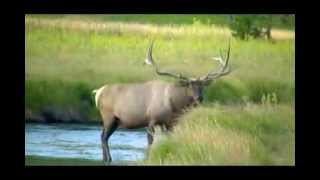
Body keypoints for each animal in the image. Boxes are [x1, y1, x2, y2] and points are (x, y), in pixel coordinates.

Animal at [91, 40, 231, 164]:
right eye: (189, 85)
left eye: (202, 86)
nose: (199, 98)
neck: (173, 105)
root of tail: (98, 92)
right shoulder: (151, 119)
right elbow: (150, 140)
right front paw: (147, 158)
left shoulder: (170, 123)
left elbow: (168, 139)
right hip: (108, 116)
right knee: (103, 136)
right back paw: (108, 159)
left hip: (116, 120)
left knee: (103, 136)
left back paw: (105, 158)